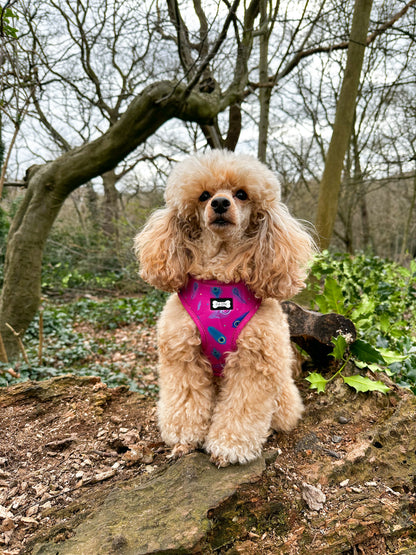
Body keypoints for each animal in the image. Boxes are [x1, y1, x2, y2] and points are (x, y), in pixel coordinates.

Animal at [135, 150, 314, 466]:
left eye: (241, 194)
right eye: (204, 196)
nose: (219, 203)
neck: (219, 279)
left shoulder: (254, 363)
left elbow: (241, 409)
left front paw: (229, 448)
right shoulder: (183, 357)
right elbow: (186, 400)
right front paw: (184, 439)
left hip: (282, 392)